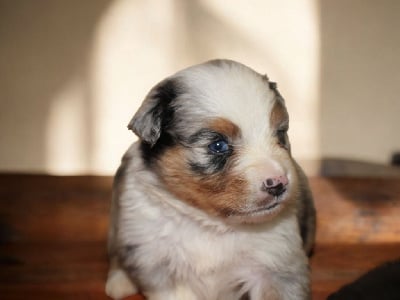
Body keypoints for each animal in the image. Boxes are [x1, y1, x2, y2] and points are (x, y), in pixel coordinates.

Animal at [105, 59, 316, 300]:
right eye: (218, 145)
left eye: (280, 134)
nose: (279, 183)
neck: (211, 223)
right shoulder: (158, 262)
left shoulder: (276, 262)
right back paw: (119, 281)